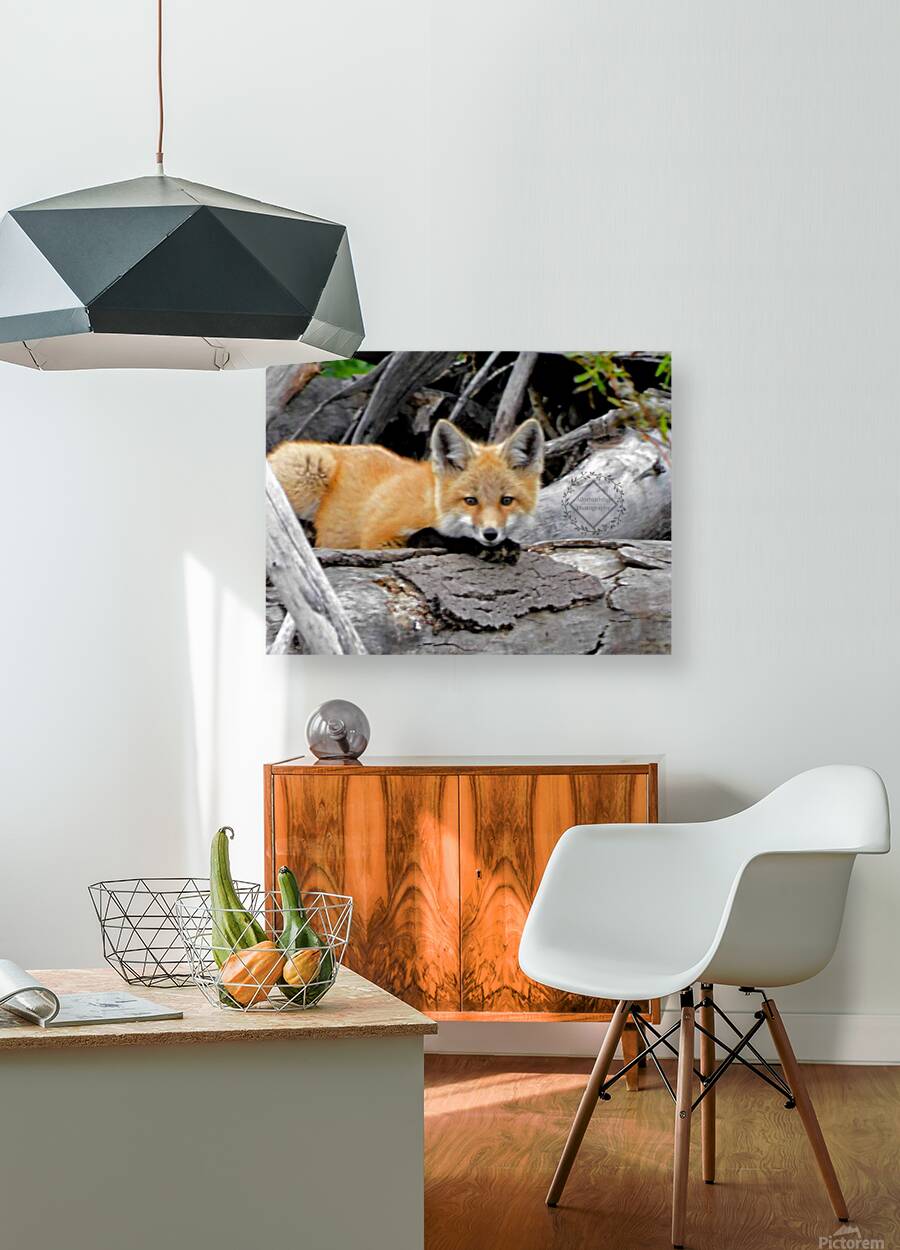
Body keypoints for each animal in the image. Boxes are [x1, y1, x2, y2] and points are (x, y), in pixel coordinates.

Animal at [268, 417, 545, 556]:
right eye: (470, 501)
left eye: (506, 500)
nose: (490, 534)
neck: (433, 509)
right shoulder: (379, 539)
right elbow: (427, 535)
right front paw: (472, 546)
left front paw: (505, 545)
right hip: (310, 470)